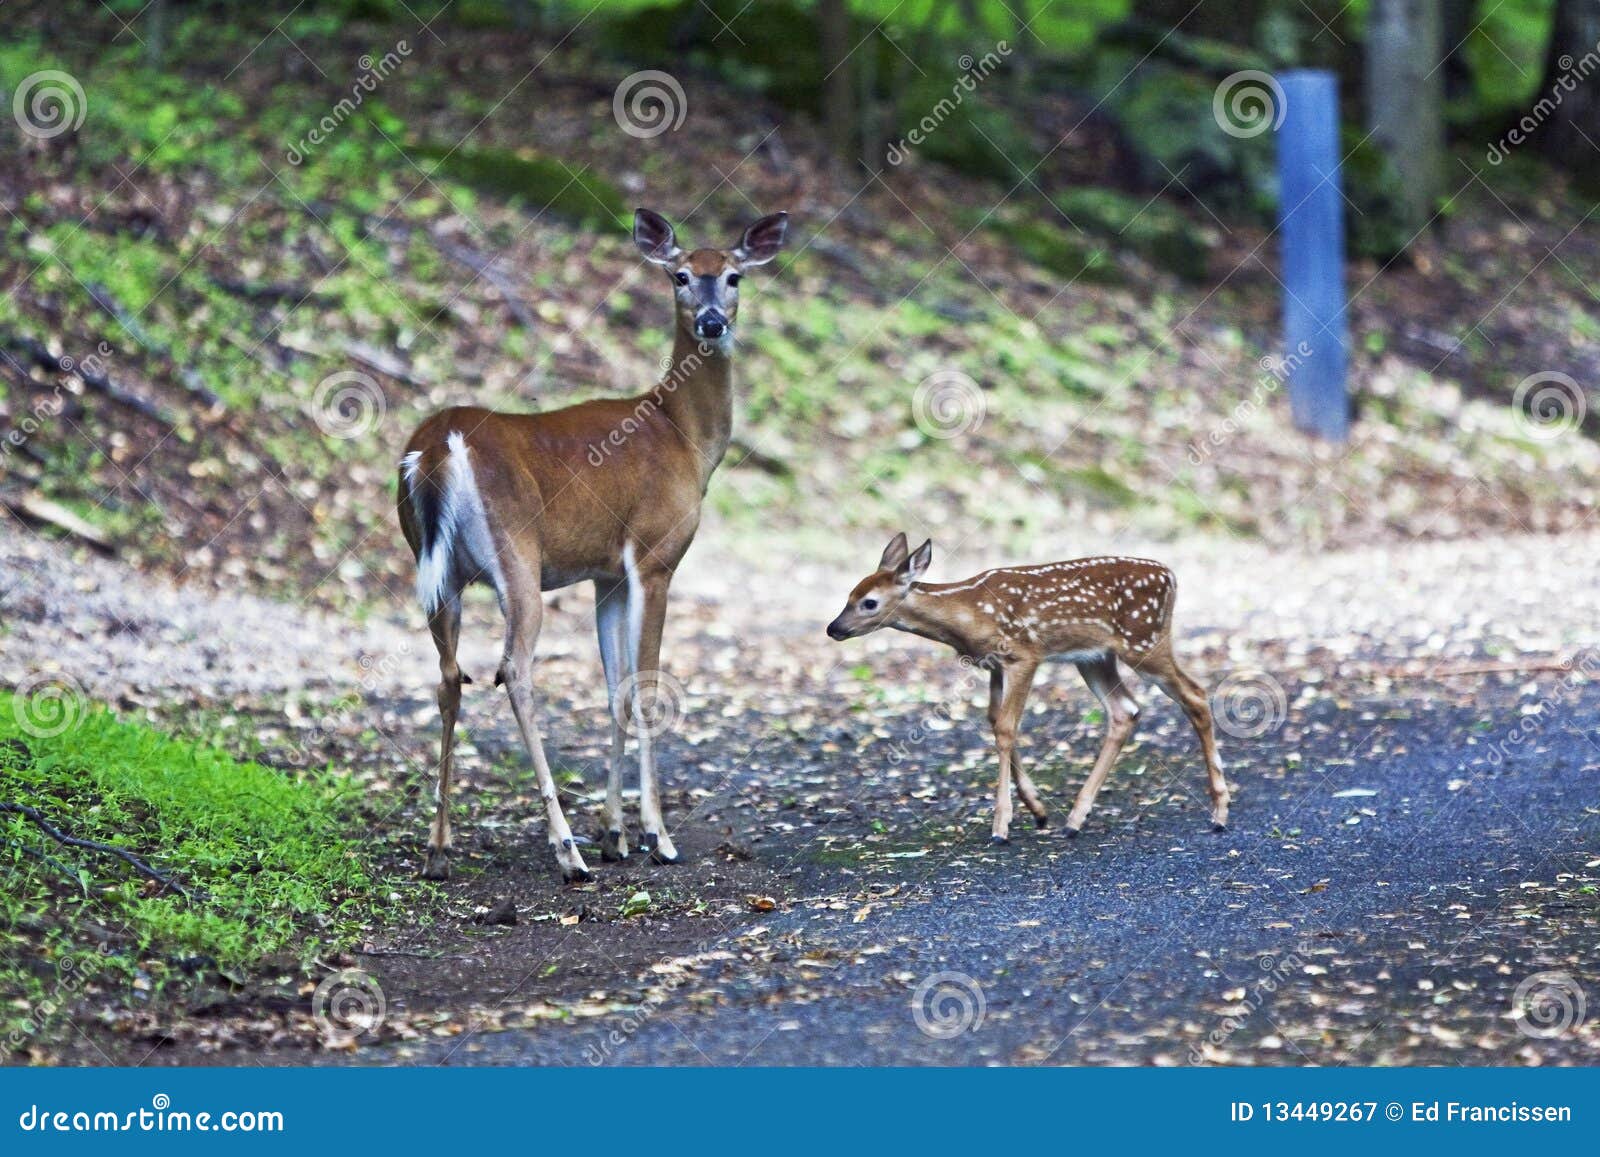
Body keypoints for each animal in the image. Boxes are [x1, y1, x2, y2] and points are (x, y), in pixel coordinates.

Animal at [396, 206, 790, 876]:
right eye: (681, 275)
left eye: (734, 276)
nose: (711, 321)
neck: (684, 439)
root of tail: (439, 448)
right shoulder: (655, 556)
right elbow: (649, 688)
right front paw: (656, 835)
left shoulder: (607, 574)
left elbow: (616, 692)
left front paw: (615, 834)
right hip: (516, 554)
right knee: (513, 669)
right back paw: (565, 850)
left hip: (436, 572)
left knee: (450, 677)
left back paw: (439, 849)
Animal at [825, 534, 1222, 844]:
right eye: (848, 595)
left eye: (869, 602)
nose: (833, 628)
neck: (967, 614)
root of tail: (1171, 575)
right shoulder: (994, 665)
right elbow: (995, 721)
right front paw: (1038, 809)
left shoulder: (1024, 655)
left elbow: (1005, 727)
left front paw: (1001, 825)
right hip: (1095, 657)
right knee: (1125, 710)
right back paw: (1074, 820)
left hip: (1144, 640)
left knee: (1196, 695)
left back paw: (1220, 812)